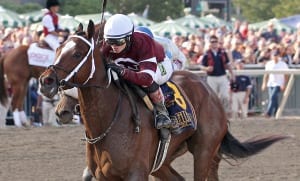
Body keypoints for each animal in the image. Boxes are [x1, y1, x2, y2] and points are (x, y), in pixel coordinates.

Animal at [39, 20, 288, 180]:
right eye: (58, 48)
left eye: (77, 54)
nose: (46, 81)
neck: (108, 123)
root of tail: (209, 90)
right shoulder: (104, 176)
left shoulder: (136, 174)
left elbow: (147, 76)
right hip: (164, 161)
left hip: (204, 151)